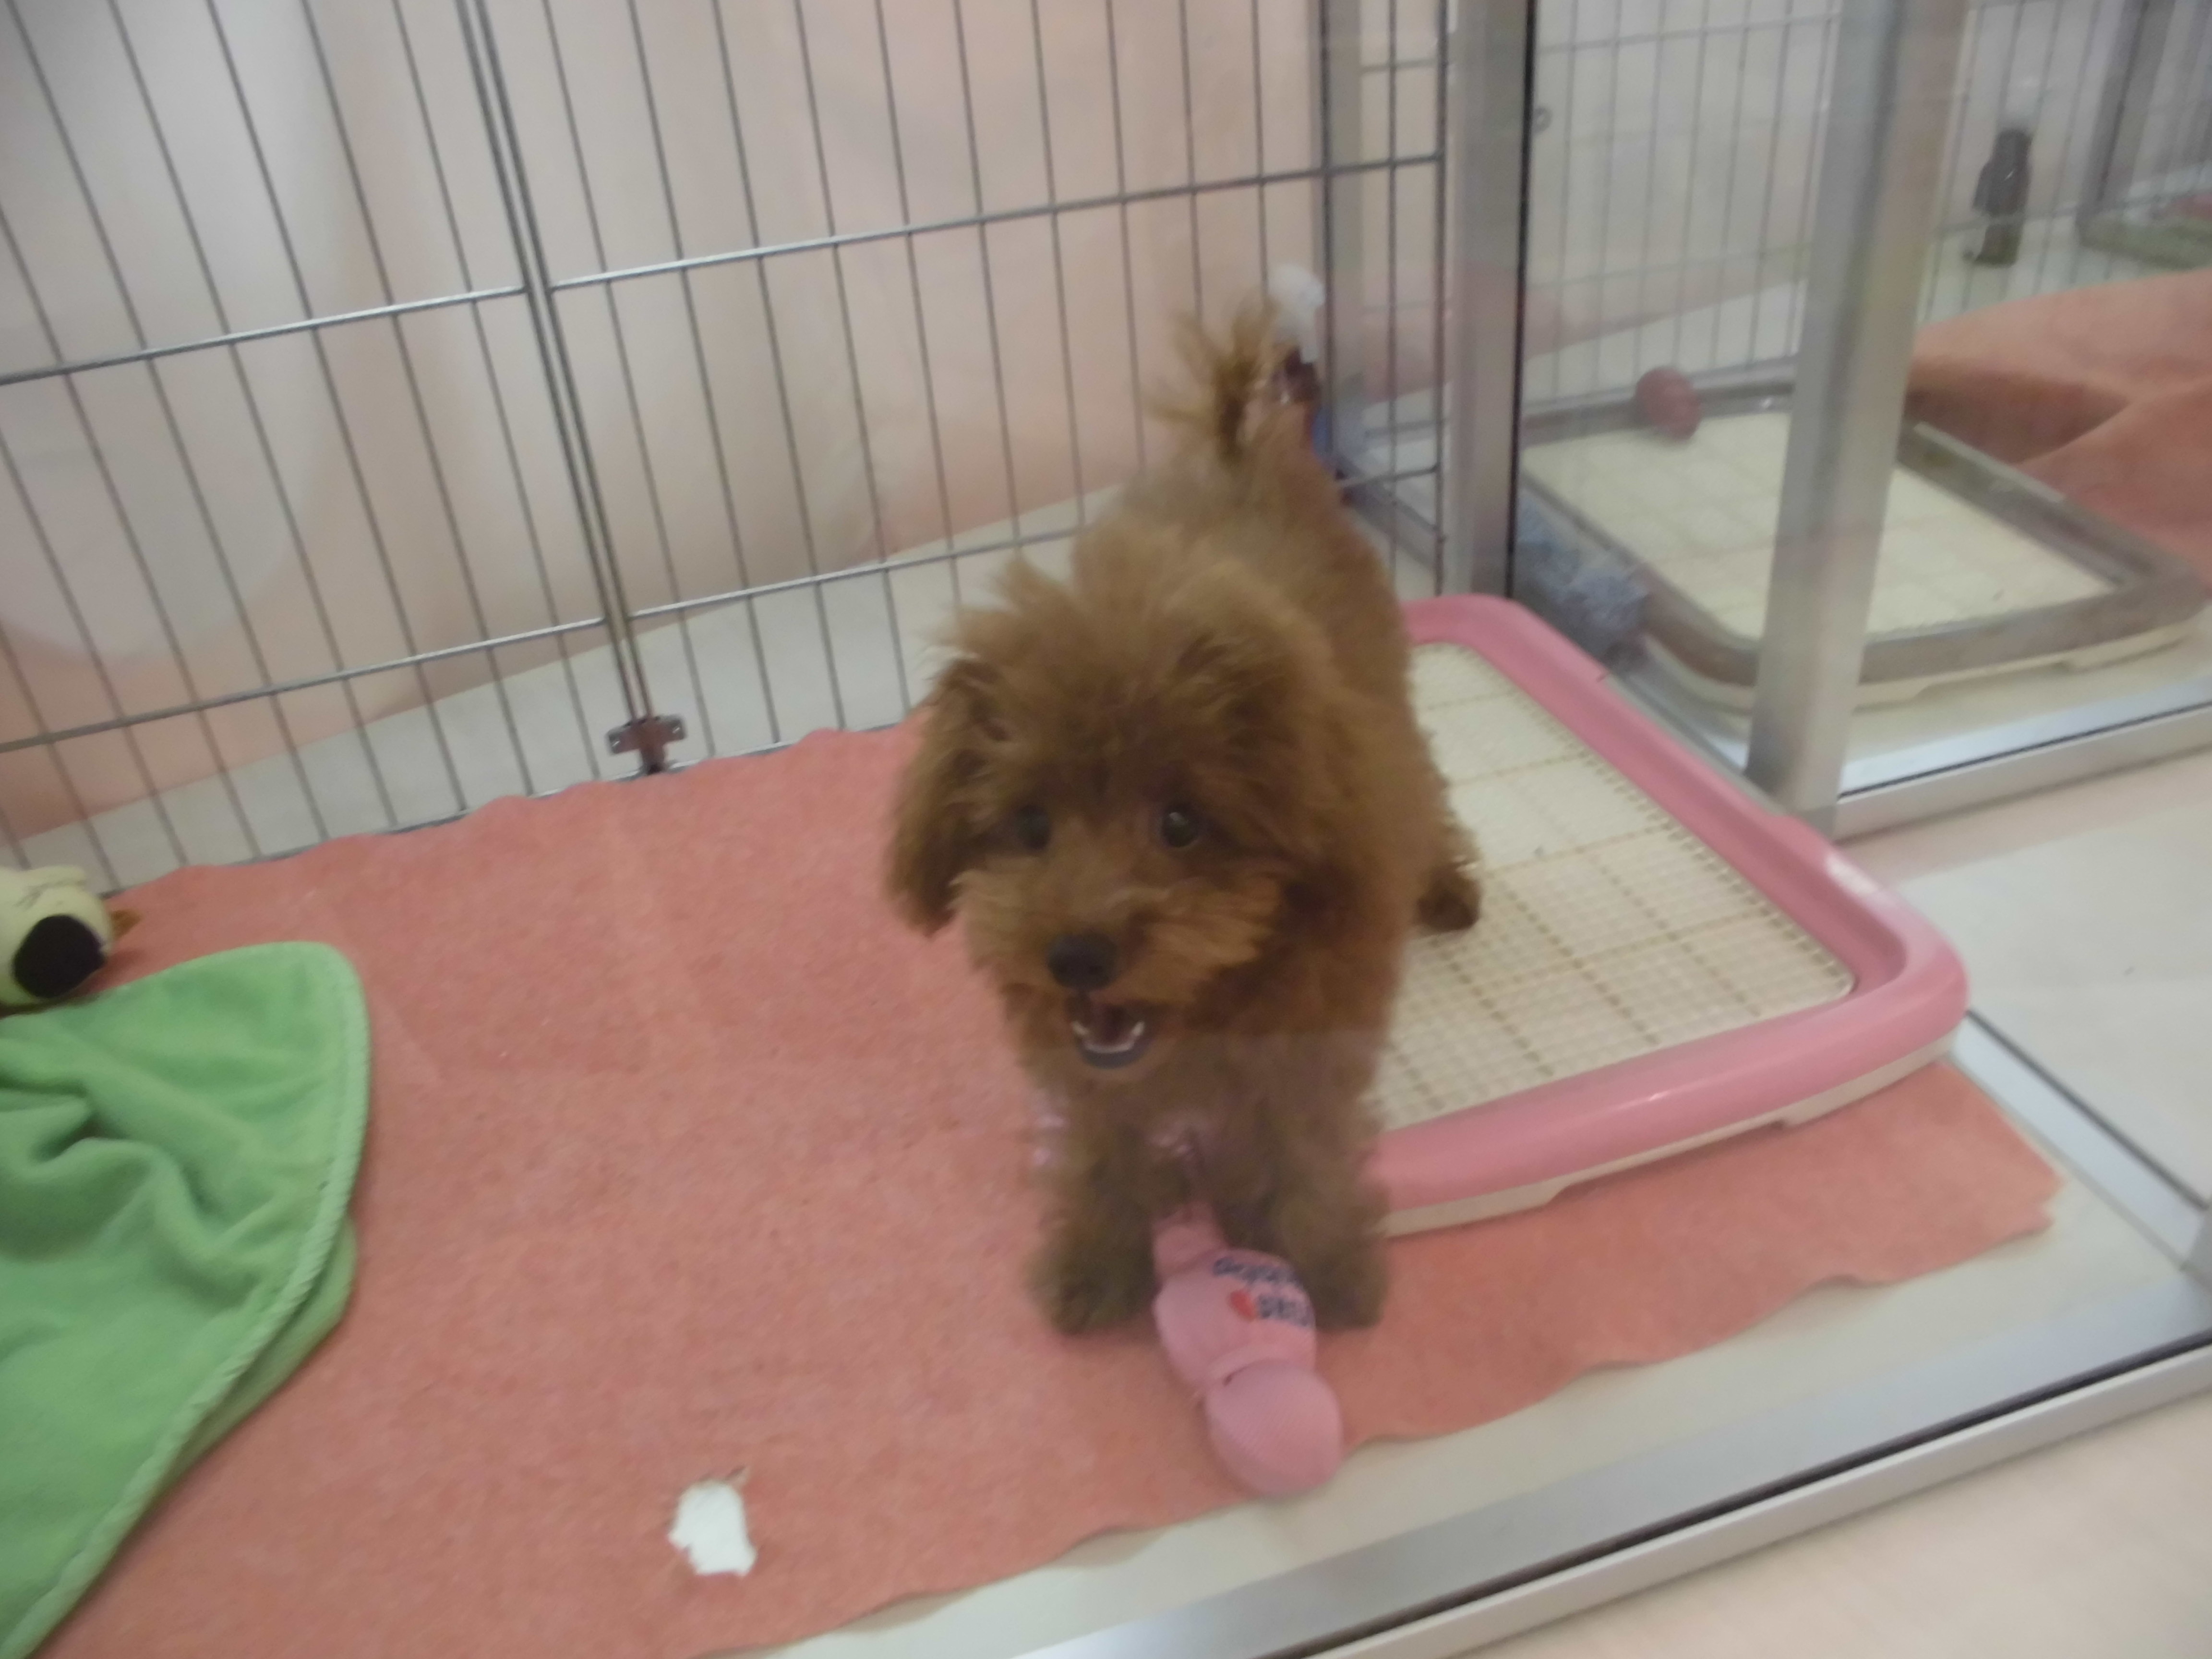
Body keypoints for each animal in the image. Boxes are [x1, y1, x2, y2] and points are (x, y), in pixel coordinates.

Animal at [885, 301, 1479, 1335]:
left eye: (1181, 824)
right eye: (1030, 826)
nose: (1076, 955)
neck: (1204, 1007)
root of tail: (1239, 451)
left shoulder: (1306, 1055)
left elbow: (1303, 1156)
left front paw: (1326, 1273)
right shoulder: (1090, 1077)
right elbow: (1101, 1156)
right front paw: (1095, 1265)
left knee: (1427, 787)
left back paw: (1445, 884)